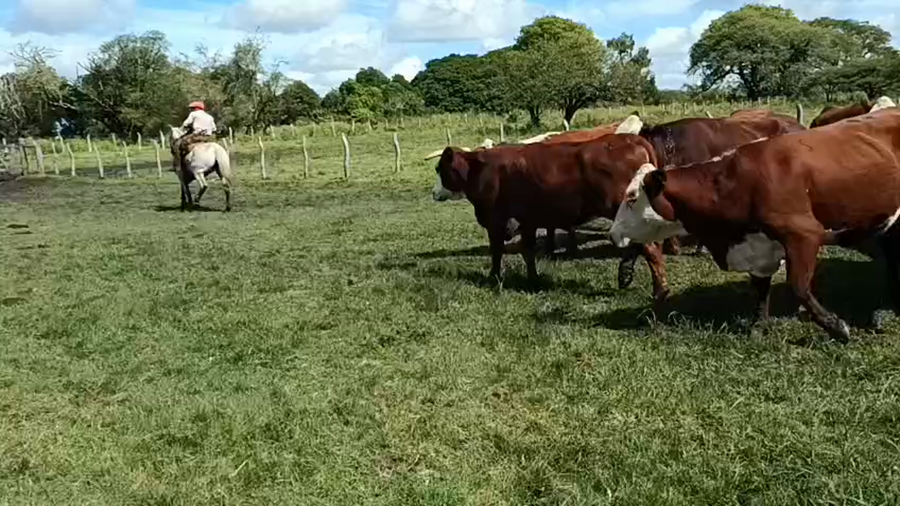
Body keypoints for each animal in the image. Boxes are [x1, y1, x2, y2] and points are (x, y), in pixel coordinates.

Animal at [432, 133, 672, 301]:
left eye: (439, 169)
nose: (434, 193)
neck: (481, 170)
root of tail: (630, 138)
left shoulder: (495, 220)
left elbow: (497, 251)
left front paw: (494, 278)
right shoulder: (526, 220)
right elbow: (528, 251)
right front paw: (533, 280)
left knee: (650, 248)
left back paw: (659, 291)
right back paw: (631, 278)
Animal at [609, 107, 900, 342]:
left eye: (632, 198)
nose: (613, 233)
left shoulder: (804, 236)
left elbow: (799, 286)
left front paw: (835, 326)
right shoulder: (758, 248)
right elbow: (761, 289)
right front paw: (759, 326)